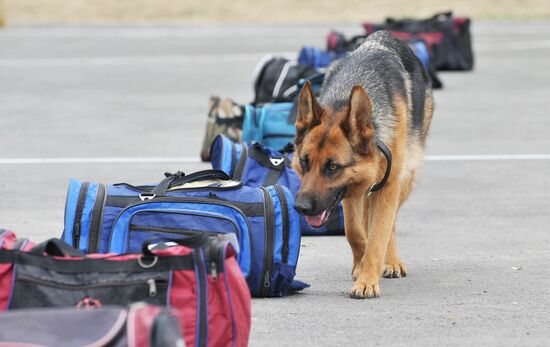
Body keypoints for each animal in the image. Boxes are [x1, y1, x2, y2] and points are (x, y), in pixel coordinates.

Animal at [296, 30, 434, 300]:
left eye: (332, 167)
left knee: (391, 223)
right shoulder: (350, 191)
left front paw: (368, 279)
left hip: (404, 180)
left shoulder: (387, 187)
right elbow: (355, 233)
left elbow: (378, 235)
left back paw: (391, 261)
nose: (301, 207)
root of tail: (386, 34)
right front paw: (361, 267)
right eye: (305, 162)